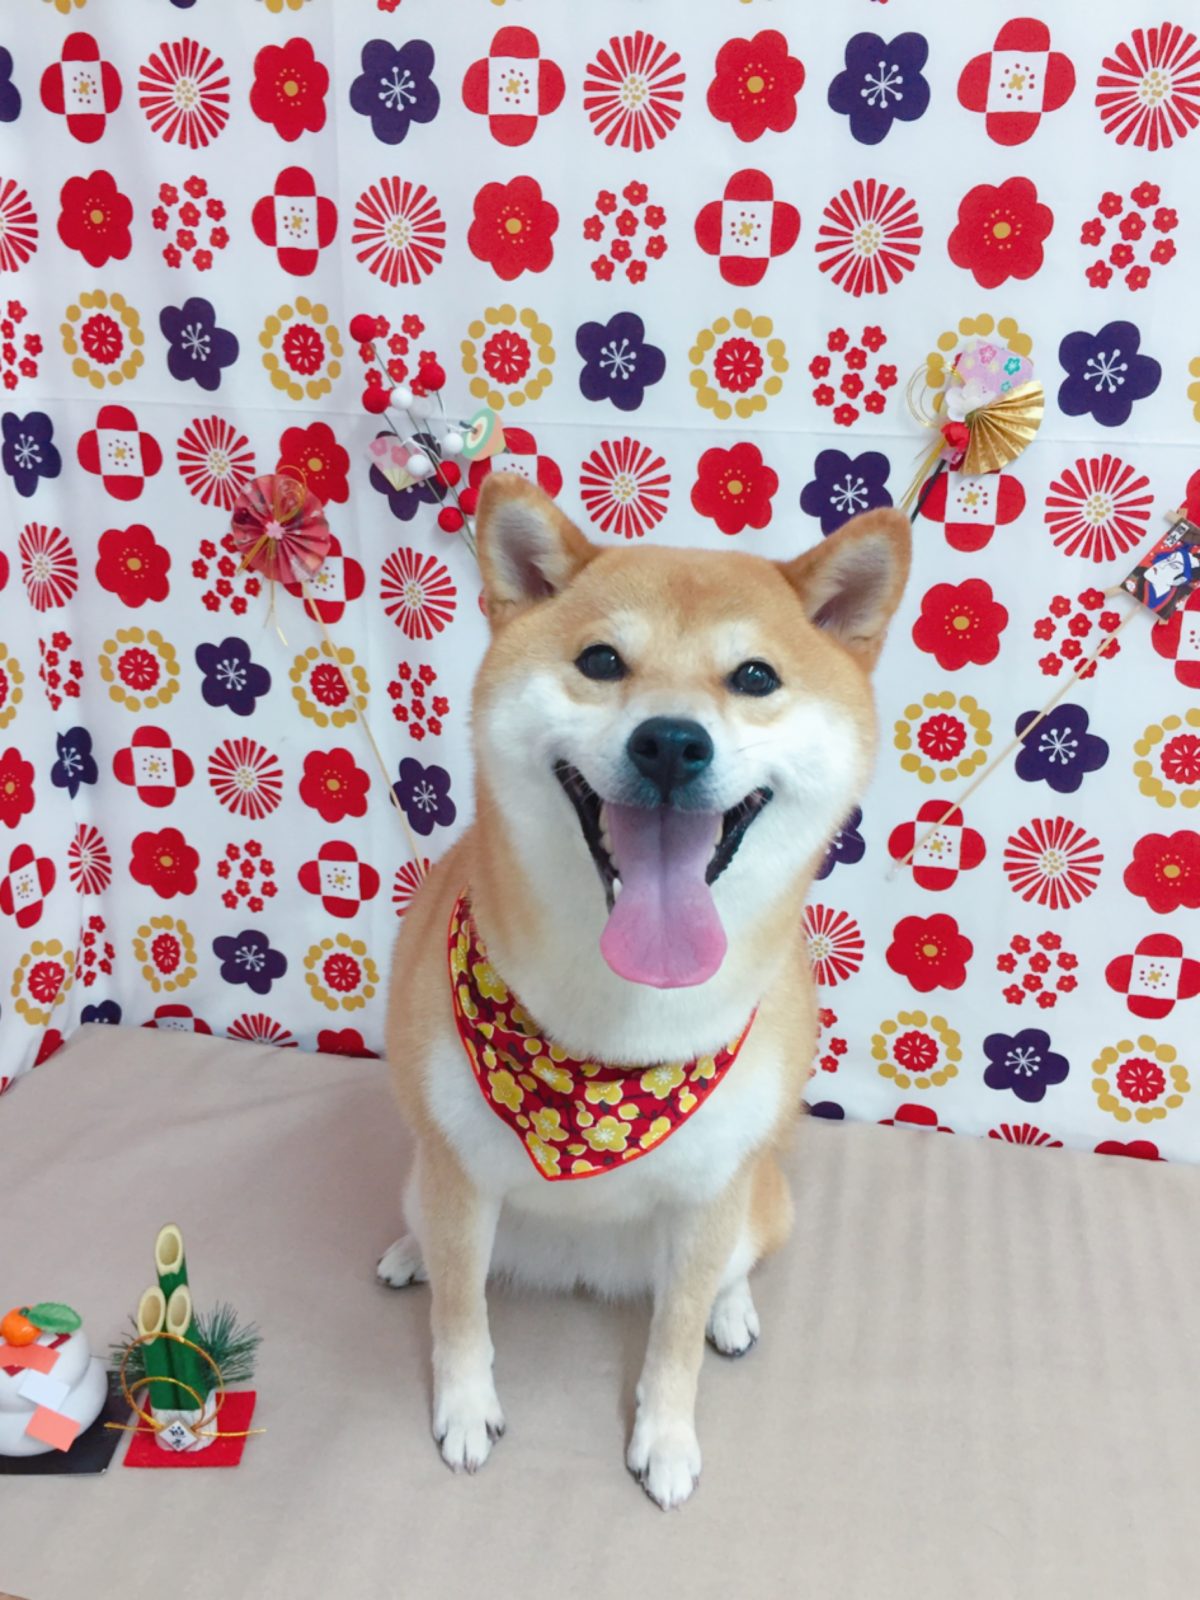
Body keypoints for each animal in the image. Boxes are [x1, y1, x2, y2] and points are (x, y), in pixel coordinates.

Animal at [379, 471, 910, 1507]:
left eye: (755, 678)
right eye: (600, 660)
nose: (670, 742)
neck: (617, 1033)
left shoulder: (708, 1197)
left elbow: (674, 1339)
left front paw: (665, 1437)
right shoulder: (460, 1173)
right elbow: (462, 1314)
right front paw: (463, 1410)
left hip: (756, 1200)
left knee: (728, 1274)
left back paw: (733, 1313)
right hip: (423, 1175)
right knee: (428, 1228)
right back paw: (409, 1251)